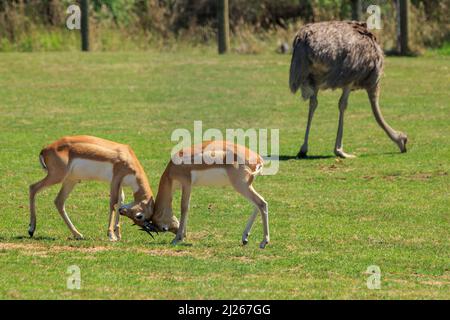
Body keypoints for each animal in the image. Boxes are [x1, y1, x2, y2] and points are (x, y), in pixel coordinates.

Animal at [117, 141, 270, 249]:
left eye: (139, 216)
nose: (120, 209)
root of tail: (258, 159)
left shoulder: (187, 184)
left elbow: (184, 207)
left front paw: (177, 239)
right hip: (244, 186)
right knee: (257, 204)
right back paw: (245, 238)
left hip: (241, 185)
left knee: (262, 203)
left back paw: (264, 242)